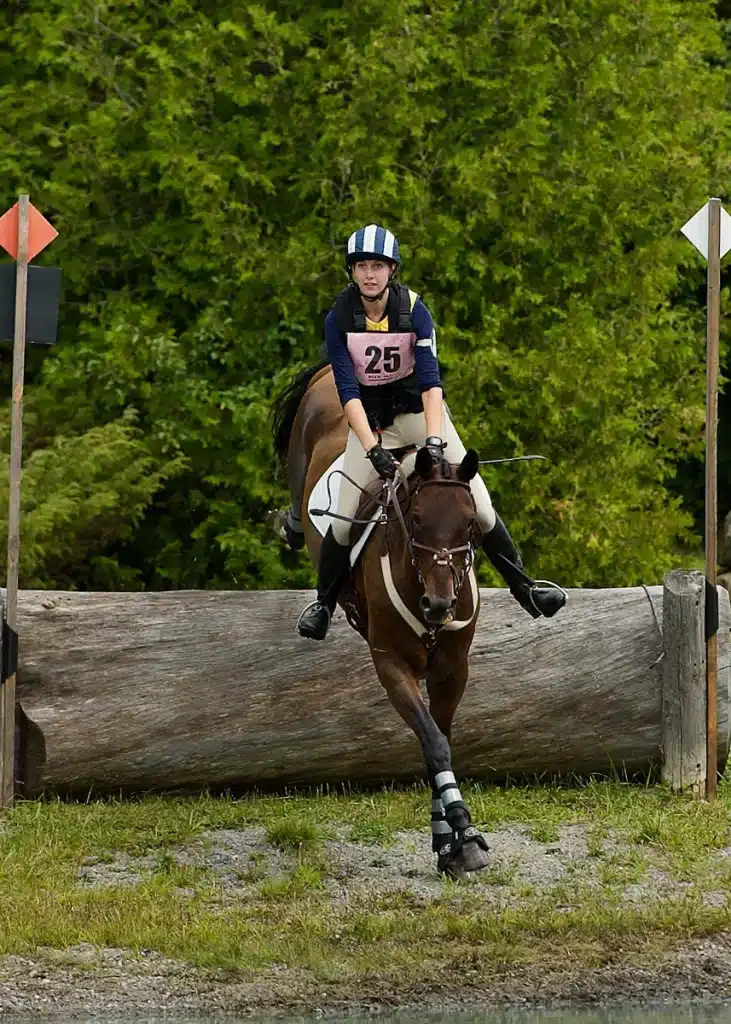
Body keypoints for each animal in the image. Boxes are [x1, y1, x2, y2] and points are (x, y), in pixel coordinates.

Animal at [274, 362, 489, 880]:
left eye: (470, 524)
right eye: (416, 520)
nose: (439, 606)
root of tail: (326, 373)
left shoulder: (453, 670)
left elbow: (440, 736)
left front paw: (452, 842)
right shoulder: (391, 664)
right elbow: (434, 742)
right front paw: (460, 828)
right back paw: (291, 528)